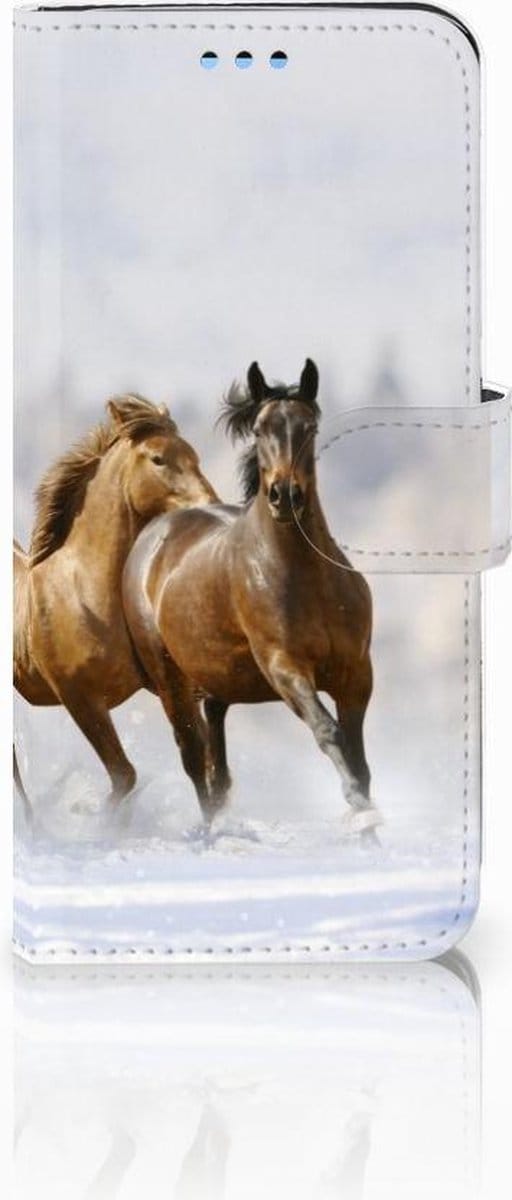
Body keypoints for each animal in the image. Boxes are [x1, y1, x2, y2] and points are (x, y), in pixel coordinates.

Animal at [14, 394, 218, 807]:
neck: (84, 593)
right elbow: (124, 775)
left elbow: (197, 756)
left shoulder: (171, 685)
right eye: (158, 459)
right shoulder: (80, 698)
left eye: (194, 455)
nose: (210, 503)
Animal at [123, 360, 380, 833]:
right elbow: (328, 731)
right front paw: (359, 808)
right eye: (260, 429)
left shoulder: (356, 673)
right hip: (170, 680)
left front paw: (368, 826)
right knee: (193, 756)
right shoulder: (285, 668)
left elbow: (358, 755)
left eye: (310, 427)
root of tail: (155, 533)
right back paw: (209, 831)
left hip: (215, 680)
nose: (285, 496)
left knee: (216, 760)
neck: (306, 577)